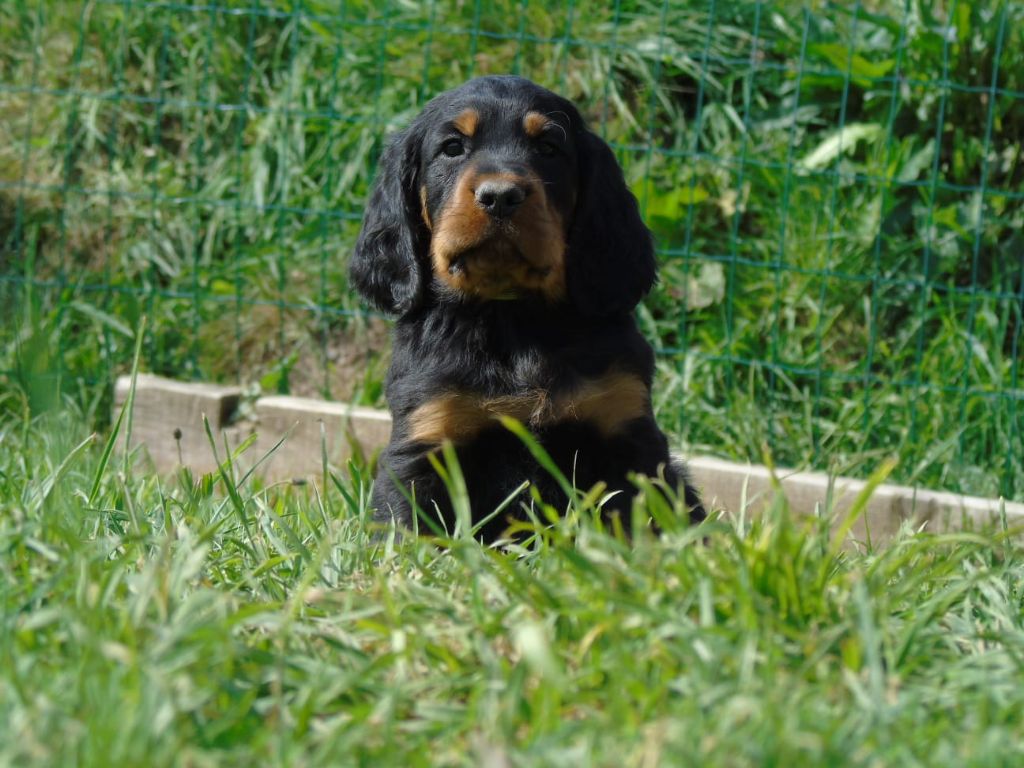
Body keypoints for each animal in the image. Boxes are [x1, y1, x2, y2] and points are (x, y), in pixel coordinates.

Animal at [350, 75, 704, 540]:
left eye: (549, 148)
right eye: (452, 147)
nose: (500, 196)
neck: (512, 315)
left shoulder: (628, 433)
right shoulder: (425, 438)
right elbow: (407, 530)